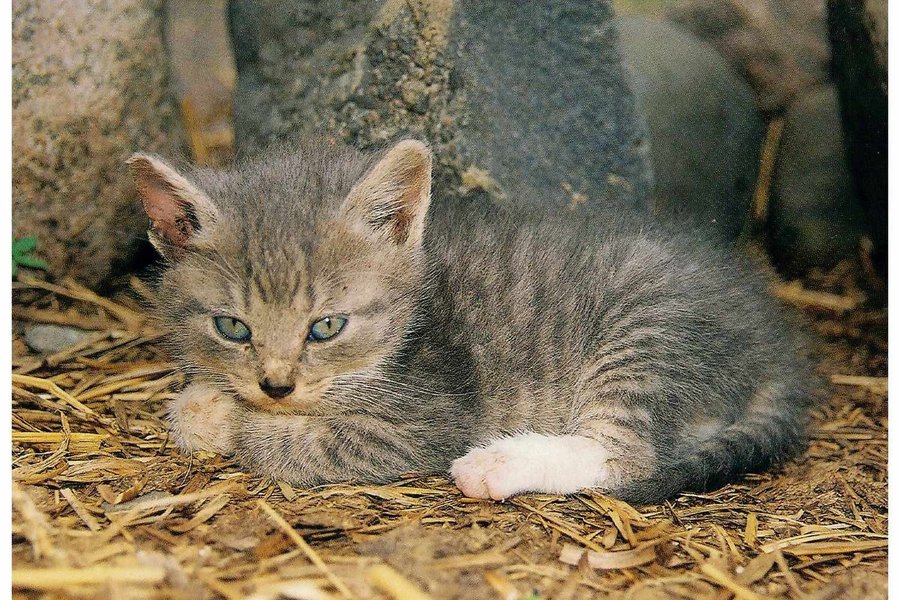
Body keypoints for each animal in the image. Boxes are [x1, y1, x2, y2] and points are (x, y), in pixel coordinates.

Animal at [127, 138, 812, 504]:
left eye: (325, 328)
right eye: (233, 328)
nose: (275, 385)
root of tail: (775, 346)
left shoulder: (426, 418)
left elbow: (288, 442)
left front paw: (217, 417)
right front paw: (210, 397)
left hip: (644, 333)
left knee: (628, 453)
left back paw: (498, 463)